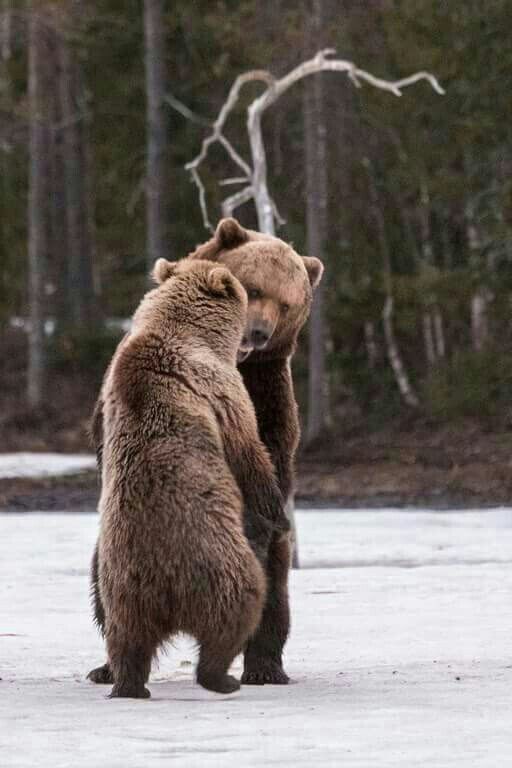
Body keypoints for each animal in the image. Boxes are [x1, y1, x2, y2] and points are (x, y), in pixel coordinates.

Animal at [87, 219, 320, 688]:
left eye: (287, 303)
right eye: (255, 287)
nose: (258, 333)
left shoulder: (270, 400)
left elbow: (270, 460)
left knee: (273, 595)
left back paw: (264, 667)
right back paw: (109, 668)